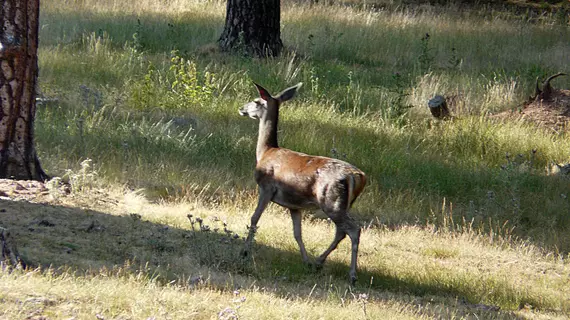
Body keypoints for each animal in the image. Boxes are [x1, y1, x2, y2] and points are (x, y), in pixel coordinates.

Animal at [237, 81, 366, 284]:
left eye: (256, 101)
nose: (241, 108)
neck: (266, 152)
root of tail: (359, 176)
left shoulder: (266, 188)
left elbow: (254, 219)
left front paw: (244, 251)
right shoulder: (294, 205)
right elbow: (297, 232)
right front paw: (305, 260)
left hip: (331, 200)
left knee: (353, 229)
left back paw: (352, 275)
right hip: (342, 204)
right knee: (341, 231)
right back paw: (318, 262)